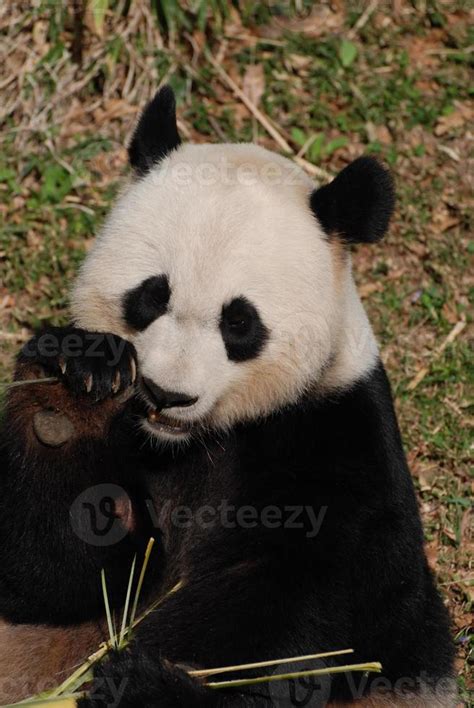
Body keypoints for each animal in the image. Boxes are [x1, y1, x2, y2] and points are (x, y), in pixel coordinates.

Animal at [0, 85, 456, 704]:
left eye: (239, 323)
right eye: (151, 296)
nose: (166, 395)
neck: (184, 444)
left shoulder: (338, 444)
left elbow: (278, 632)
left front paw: (140, 681)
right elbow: (57, 576)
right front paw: (72, 395)